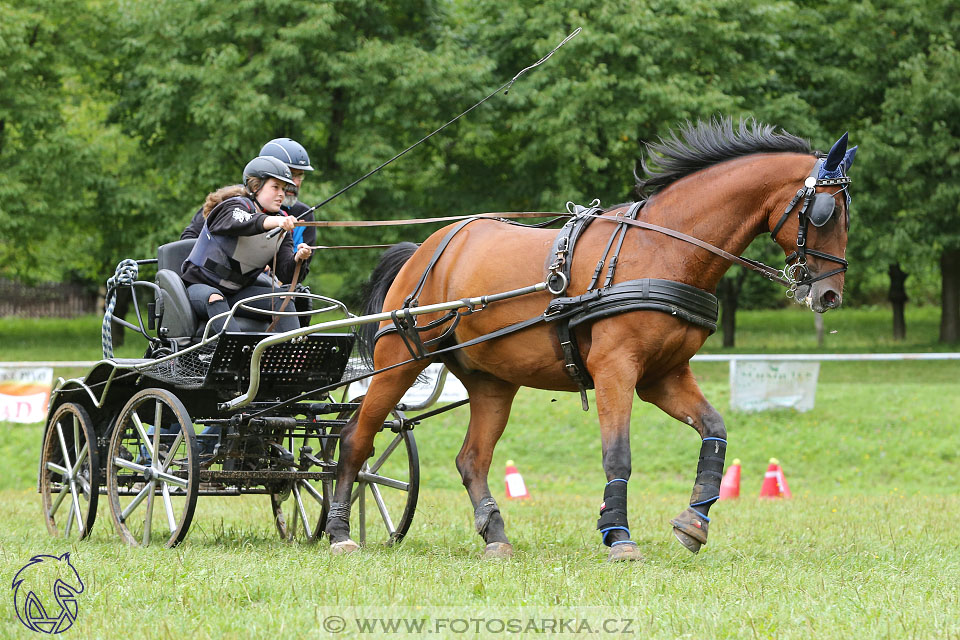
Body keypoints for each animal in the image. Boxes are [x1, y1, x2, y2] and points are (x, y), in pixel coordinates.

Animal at [322, 120, 856, 560]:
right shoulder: (616, 369)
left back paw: (495, 536)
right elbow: (617, 453)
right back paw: (340, 531)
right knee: (355, 440)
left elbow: (715, 430)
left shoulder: (663, 376)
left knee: (471, 459)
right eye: (826, 212)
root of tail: (429, 247)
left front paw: (694, 521)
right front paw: (618, 536)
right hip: (400, 361)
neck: (663, 248)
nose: (829, 294)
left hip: (493, 382)